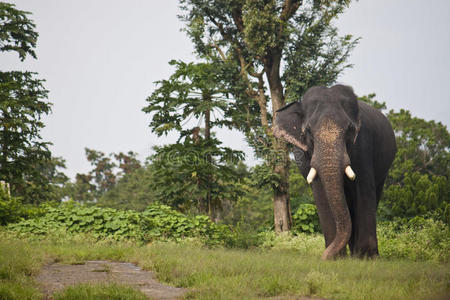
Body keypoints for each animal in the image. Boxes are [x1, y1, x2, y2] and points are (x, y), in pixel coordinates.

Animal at [272, 83, 396, 258]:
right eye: (308, 130)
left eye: (350, 129)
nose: (323, 257)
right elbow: (321, 193)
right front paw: (336, 258)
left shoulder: (363, 144)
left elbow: (364, 189)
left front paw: (367, 258)